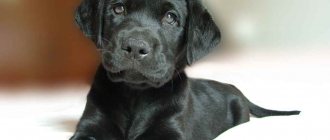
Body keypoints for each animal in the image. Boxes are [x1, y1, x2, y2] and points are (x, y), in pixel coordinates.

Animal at [71, 0, 300, 140]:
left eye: (170, 17)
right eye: (118, 9)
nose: (135, 46)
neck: (135, 94)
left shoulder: (173, 130)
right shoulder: (90, 125)